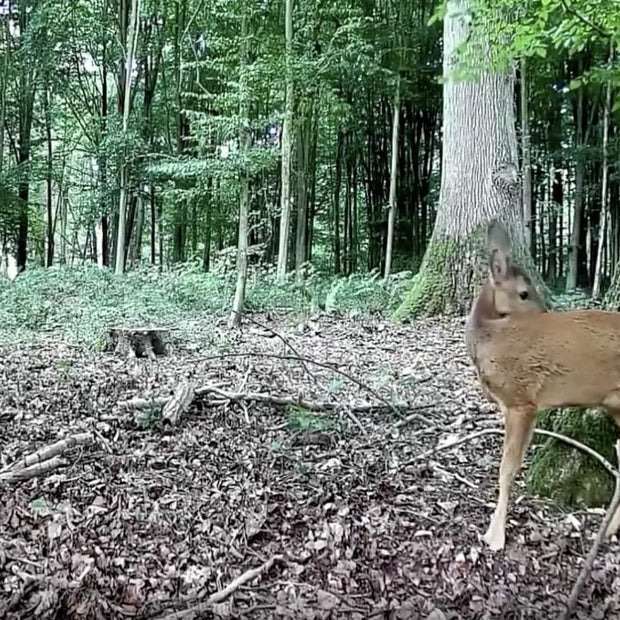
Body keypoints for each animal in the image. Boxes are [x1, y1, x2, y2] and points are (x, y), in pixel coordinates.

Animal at [468, 220, 620, 548]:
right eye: (524, 293)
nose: (545, 312)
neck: (489, 337)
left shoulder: (521, 399)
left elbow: (507, 470)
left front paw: (495, 536)